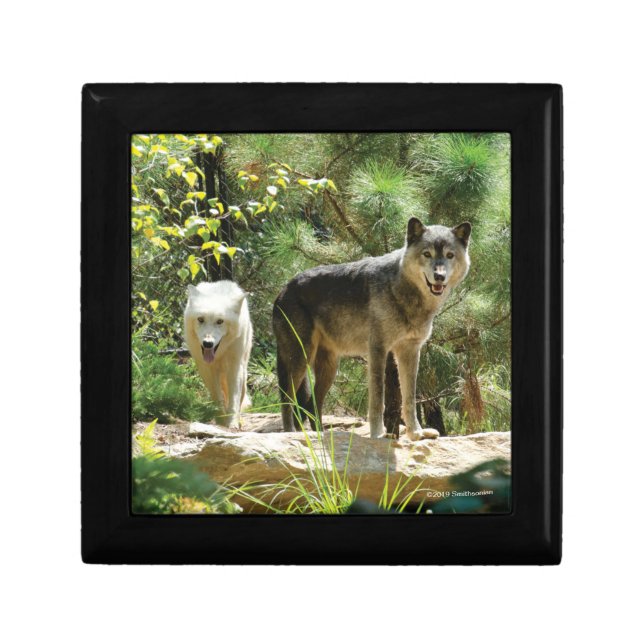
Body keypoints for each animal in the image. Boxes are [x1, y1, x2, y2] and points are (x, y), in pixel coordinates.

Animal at [184, 281, 253, 428]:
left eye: (220, 321)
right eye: (200, 319)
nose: (207, 343)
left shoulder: (234, 367)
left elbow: (234, 399)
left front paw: (232, 423)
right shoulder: (207, 369)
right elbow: (217, 396)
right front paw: (221, 420)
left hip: (243, 373)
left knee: (241, 396)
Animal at [273, 217, 471, 439]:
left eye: (449, 255)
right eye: (427, 254)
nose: (439, 276)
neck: (402, 291)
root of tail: (283, 289)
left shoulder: (410, 351)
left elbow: (409, 399)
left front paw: (416, 433)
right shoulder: (378, 349)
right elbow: (377, 399)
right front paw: (378, 434)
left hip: (329, 368)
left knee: (311, 405)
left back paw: (322, 438)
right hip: (300, 359)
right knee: (286, 400)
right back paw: (289, 435)